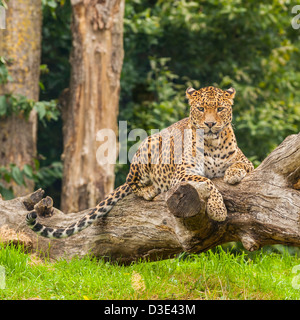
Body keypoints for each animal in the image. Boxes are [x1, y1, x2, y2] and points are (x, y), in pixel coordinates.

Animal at [26, 85, 253, 238]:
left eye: (220, 109)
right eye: (201, 109)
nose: (210, 124)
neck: (213, 143)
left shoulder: (245, 160)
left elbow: (241, 165)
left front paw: (233, 174)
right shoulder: (182, 174)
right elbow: (208, 182)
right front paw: (218, 210)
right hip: (148, 145)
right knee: (132, 182)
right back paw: (148, 190)